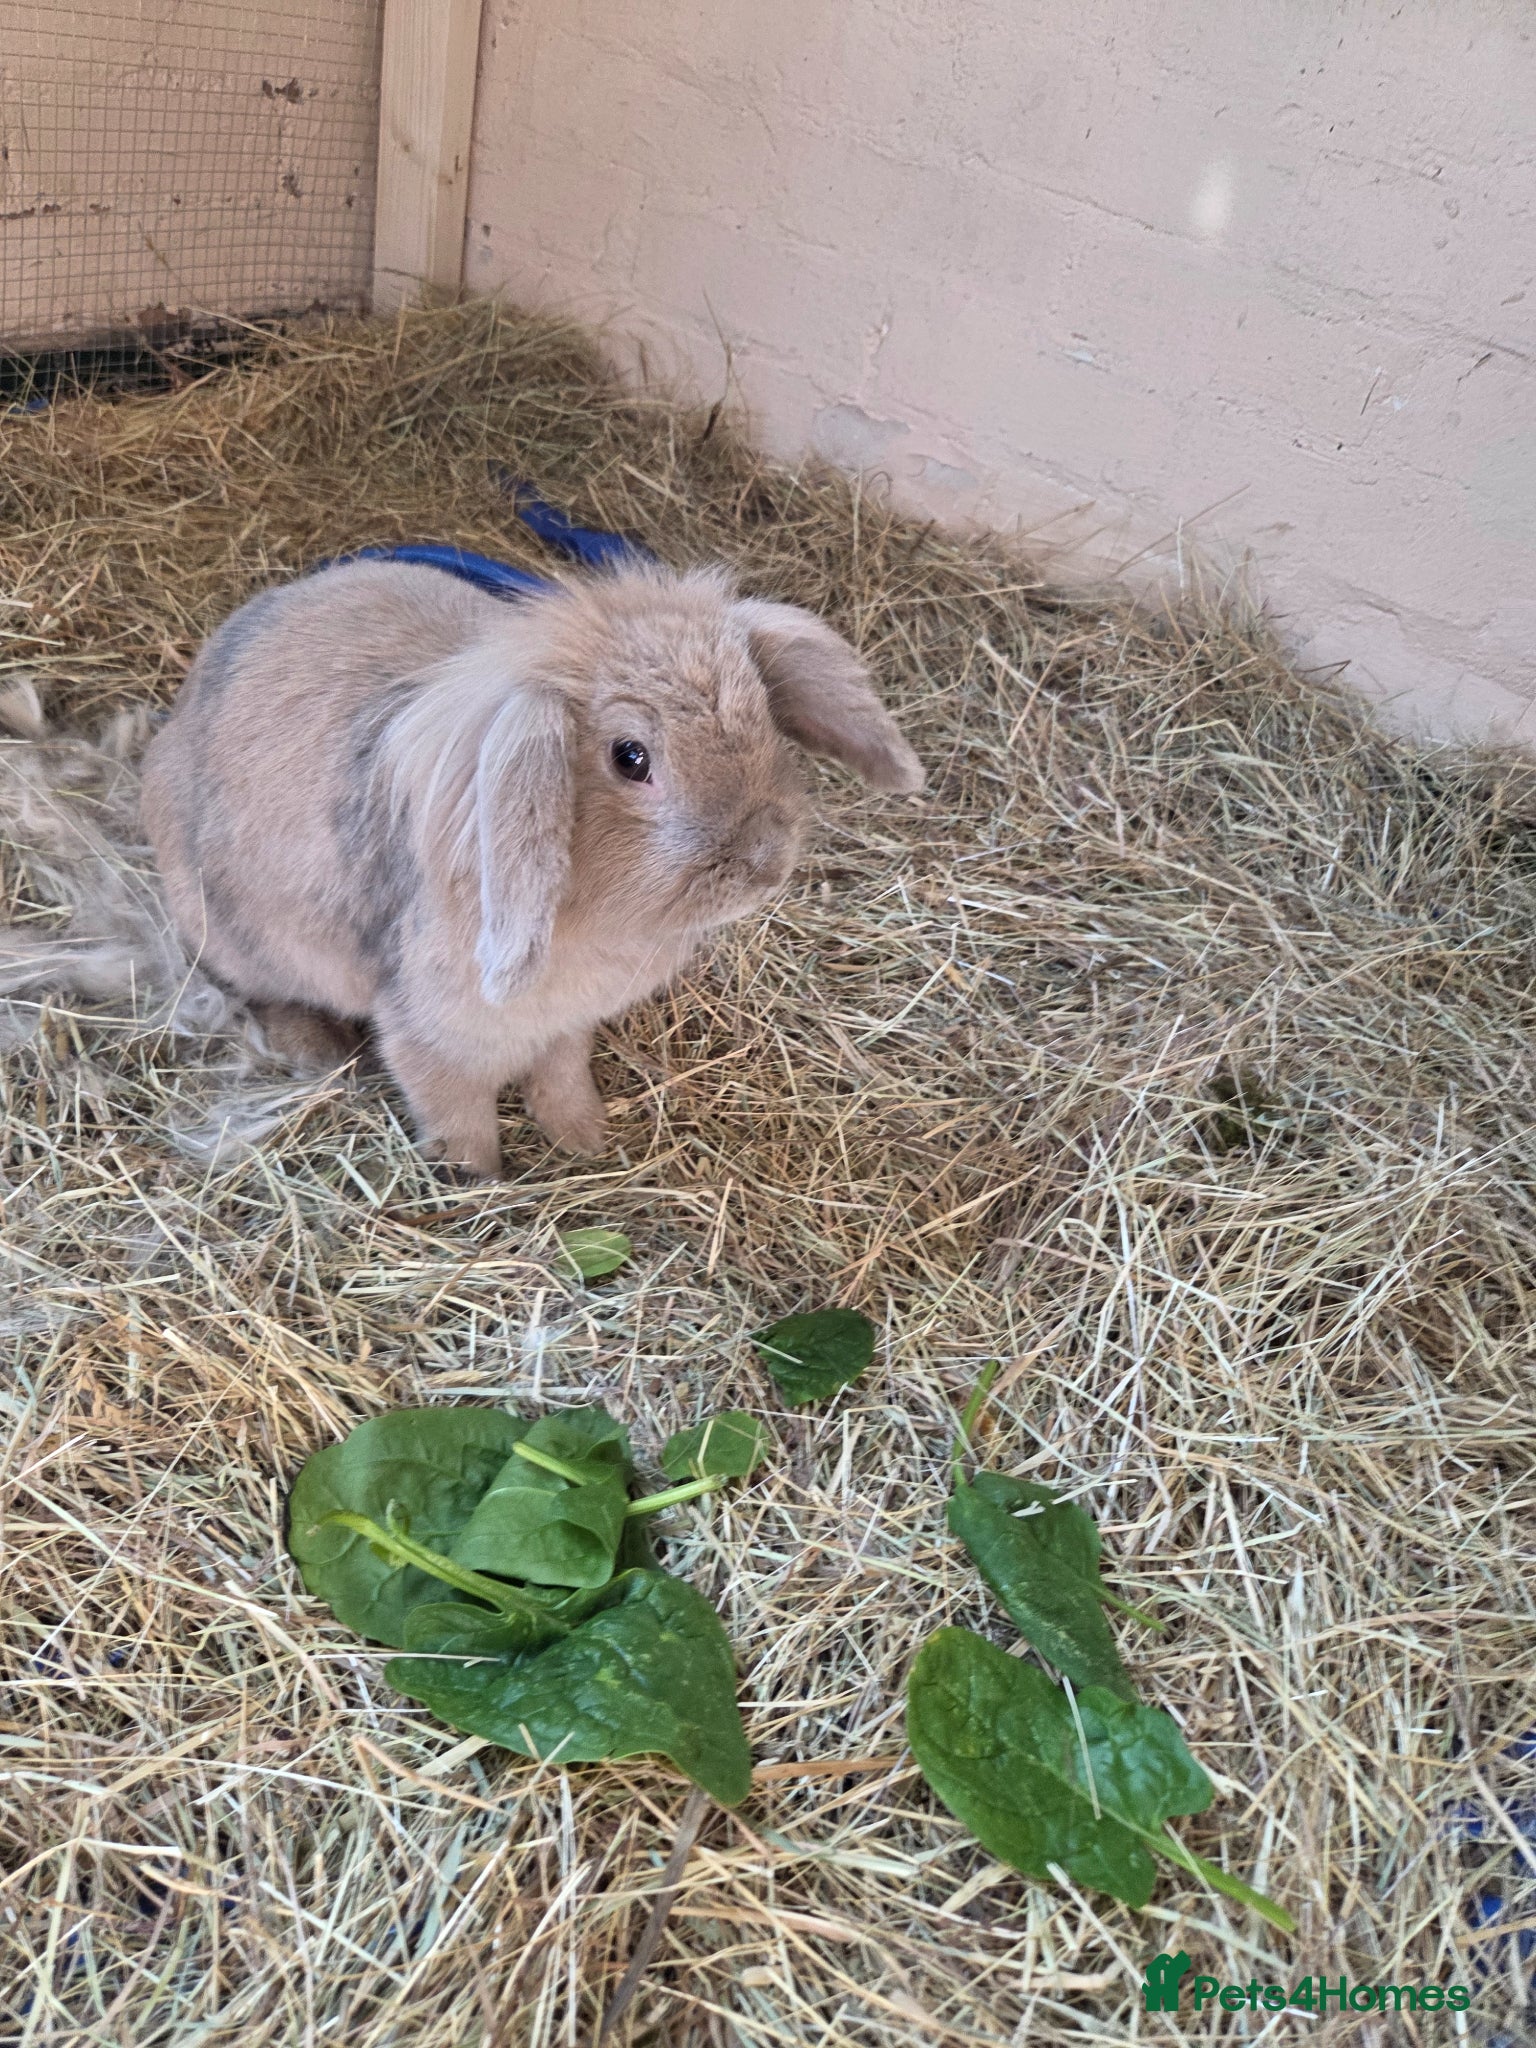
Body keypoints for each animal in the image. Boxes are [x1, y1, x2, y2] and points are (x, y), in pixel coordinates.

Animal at [140, 557, 923, 1178]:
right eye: (631, 758)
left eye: (762, 711)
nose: (767, 862)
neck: (591, 922)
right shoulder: (431, 1037)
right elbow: (455, 1113)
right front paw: (479, 1181)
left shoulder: (566, 1026)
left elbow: (562, 1075)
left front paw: (585, 1139)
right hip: (228, 932)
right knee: (261, 993)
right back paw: (320, 1051)